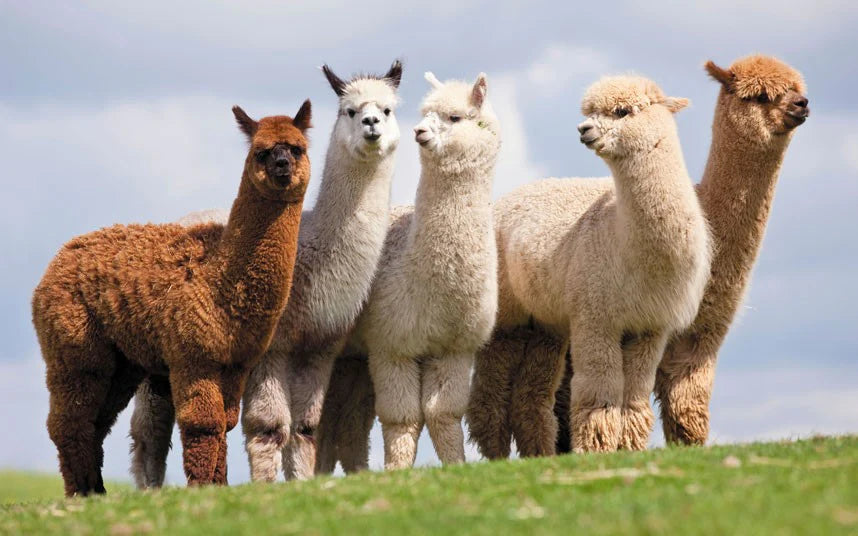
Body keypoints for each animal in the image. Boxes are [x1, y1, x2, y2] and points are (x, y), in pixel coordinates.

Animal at [32, 102, 312, 496]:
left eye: (297, 148)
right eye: (262, 151)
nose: (282, 165)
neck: (220, 278)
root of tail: (60, 256)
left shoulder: (234, 364)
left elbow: (224, 423)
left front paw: (218, 485)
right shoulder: (192, 356)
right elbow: (202, 424)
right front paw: (201, 487)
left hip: (122, 361)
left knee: (95, 422)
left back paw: (96, 491)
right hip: (73, 344)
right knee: (68, 421)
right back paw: (81, 492)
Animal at [127, 61, 403, 485]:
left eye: (388, 109)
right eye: (350, 111)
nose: (372, 124)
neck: (311, 255)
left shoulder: (318, 346)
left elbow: (305, 428)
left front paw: (301, 482)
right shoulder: (269, 348)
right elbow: (269, 427)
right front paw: (264, 487)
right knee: (149, 431)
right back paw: (150, 489)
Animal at [346, 72, 501, 469]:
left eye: (455, 117)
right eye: (423, 114)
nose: (419, 132)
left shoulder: (454, 347)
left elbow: (442, 414)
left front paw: (457, 466)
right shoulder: (391, 343)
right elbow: (402, 418)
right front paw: (396, 470)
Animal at [468, 75, 712, 455]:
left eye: (622, 111)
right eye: (589, 112)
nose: (583, 130)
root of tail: (504, 200)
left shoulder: (650, 326)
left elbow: (634, 396)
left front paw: (627, 446)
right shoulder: (596, 316)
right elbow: (600, 390)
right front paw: (596, 447)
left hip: (545, 324)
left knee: (530, 395)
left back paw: (539, 453)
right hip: (506, 316)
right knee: (488, 394)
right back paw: (496, 455)